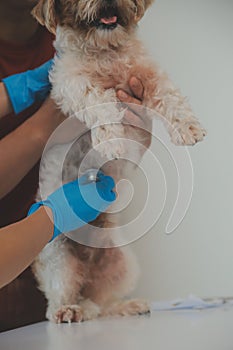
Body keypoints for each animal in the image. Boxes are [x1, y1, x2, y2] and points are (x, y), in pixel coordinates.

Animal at [31, 0, 206, 322]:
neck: (104, 51)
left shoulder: (146, 73)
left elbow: (170, 95)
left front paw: (188, 127)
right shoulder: (69, 81)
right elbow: (99, 101)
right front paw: (112, 140)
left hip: (121, 264)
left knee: (102, 305)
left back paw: (128, 306)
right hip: (59, 258)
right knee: (57, 304)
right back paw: (69, 311)